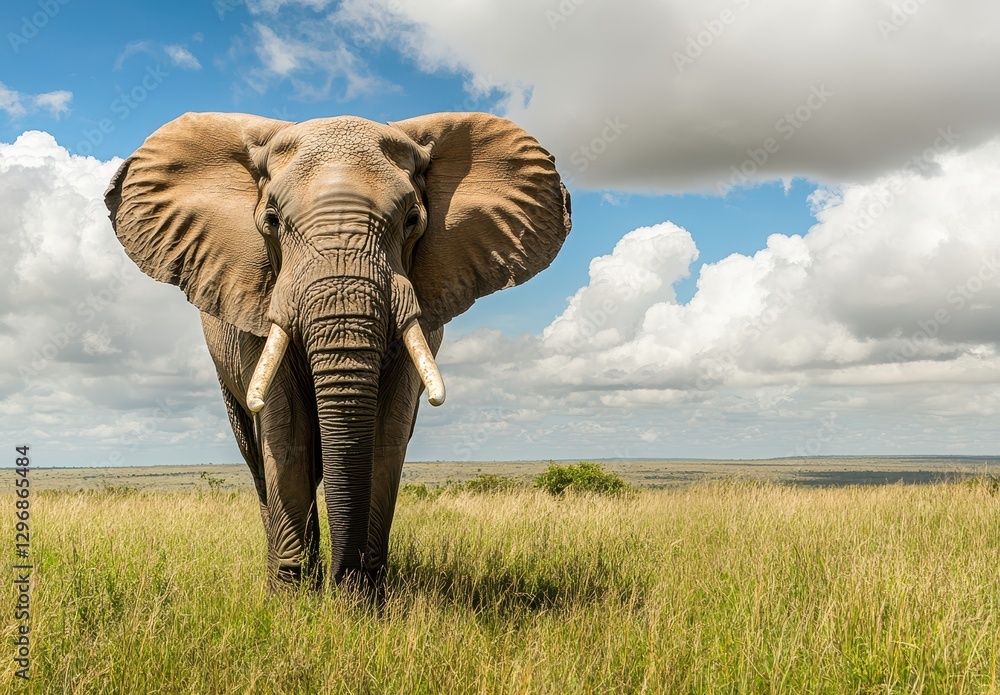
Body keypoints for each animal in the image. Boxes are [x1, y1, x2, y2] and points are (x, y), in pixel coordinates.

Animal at [104, 111, 571, 590]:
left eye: (412, 220)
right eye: (271, 220)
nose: (341, 576)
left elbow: (387, 432)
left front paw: (362, 598)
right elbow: (287, 431)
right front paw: (292, 600)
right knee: (258, 456)